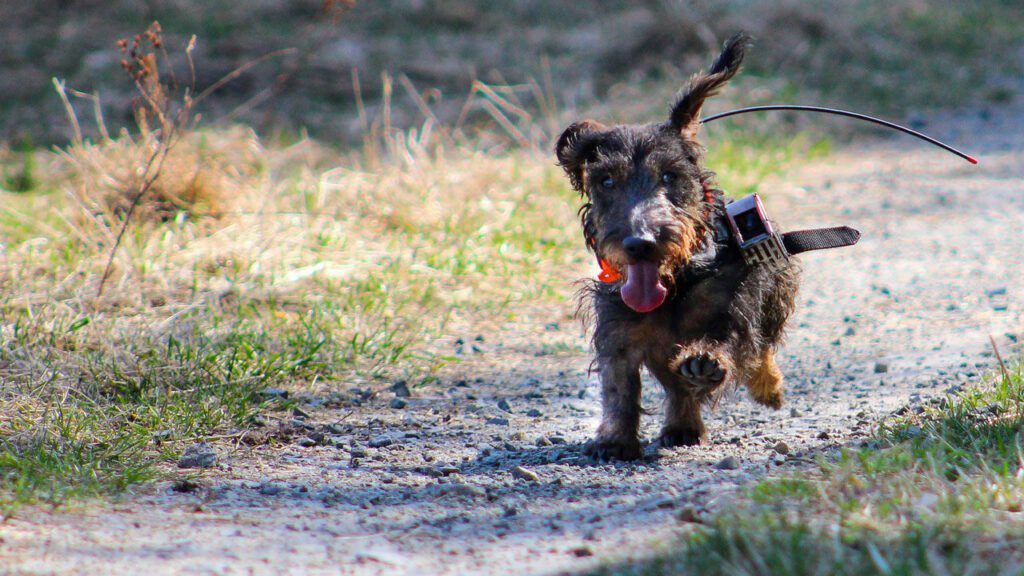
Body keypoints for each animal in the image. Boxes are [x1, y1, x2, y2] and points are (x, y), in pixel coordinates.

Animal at [552, 33, 798, 459]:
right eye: (606, 181)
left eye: (670, 175)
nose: (640, 243)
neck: (676, 284)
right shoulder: (619, 330)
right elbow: (619, 388)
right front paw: (615, 440)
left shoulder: (735, 303)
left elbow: (732, 342)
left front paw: (706, 362)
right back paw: (683, 424)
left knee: (762, 349)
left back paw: (767, 388)